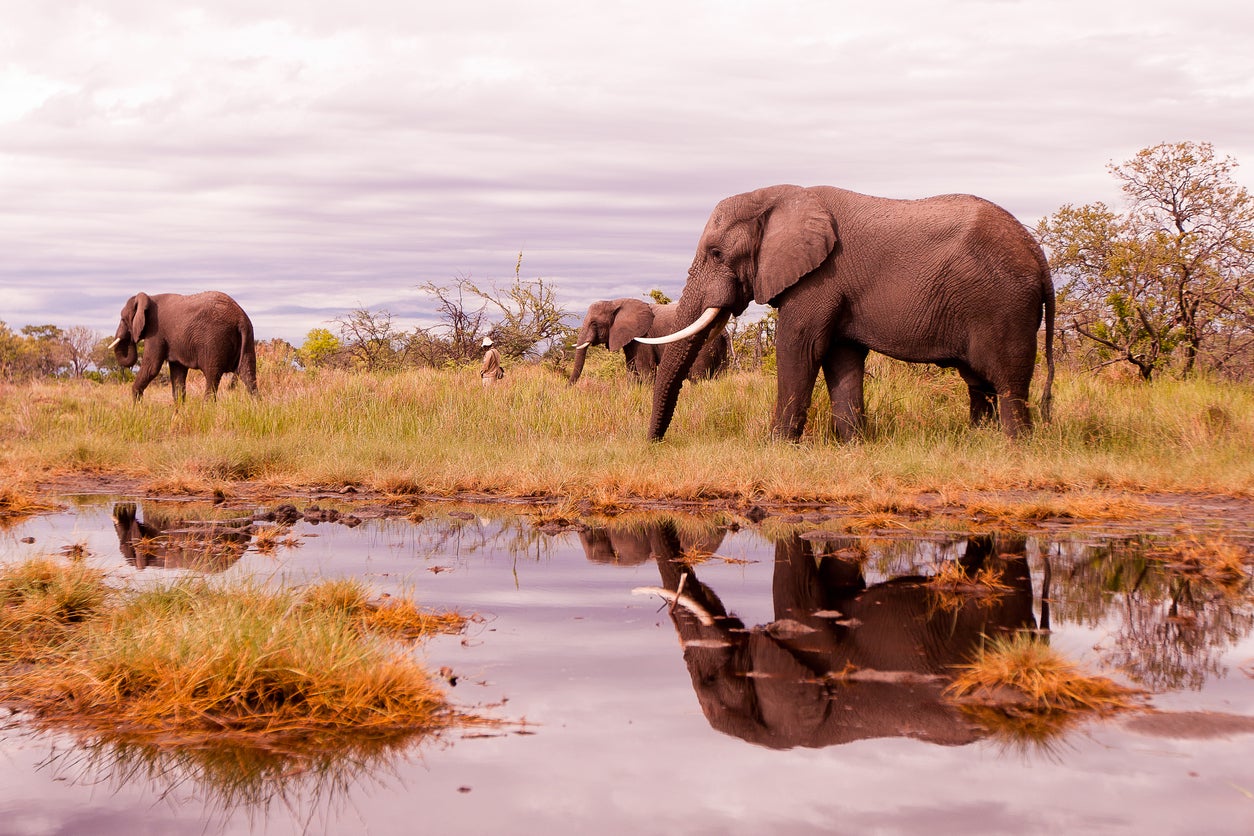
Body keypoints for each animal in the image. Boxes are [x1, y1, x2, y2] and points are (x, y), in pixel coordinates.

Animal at [110, 290, 259, 401]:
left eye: (123, 319)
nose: (131, 338)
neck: (149, 297)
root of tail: (240, 318)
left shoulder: (156, 332)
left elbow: (152, 367)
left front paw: (136, 408)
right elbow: (177, 375)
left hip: (214, 341)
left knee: (212, 376)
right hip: (248, 337)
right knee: (248, 375)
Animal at [566, 297, 732, 386]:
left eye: (594, 323)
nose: (567, 389)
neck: (615, 302)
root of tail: (724, 332)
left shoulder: (644, 338)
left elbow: (645, 370)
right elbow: (632, 371)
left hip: (705, 345)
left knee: (697, 376)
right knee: (719, 376)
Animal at [637, 184, 1058, 443]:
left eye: (716, 253)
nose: (653, 444)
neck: (778, 197)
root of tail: (1038, 255)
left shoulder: (819, 278)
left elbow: (799, 348)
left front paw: (776, 447)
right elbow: (842, 358)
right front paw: (853, 446)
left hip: (1003, 305)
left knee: (1007, 382)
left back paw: (1015, 447)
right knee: (979, 383)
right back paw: (978, 441)